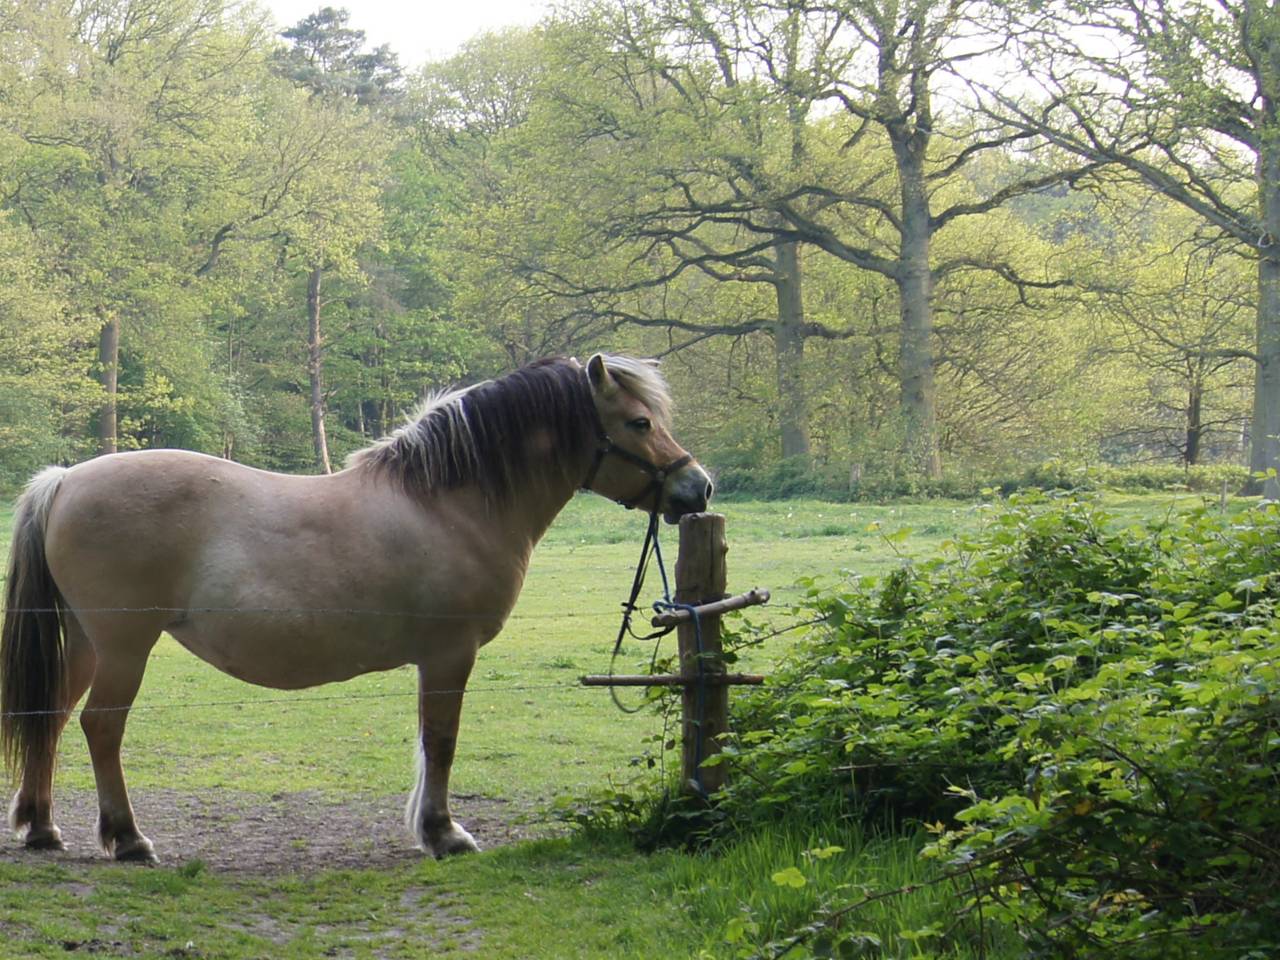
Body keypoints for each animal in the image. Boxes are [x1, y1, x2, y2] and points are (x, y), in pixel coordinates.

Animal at [1, 354, 712, 862]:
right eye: (640, 422)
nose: (697, 486)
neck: (448, 503)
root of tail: (65, 479)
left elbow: (429, 742)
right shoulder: (449, 654)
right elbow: (441, 740)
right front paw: (444, 834)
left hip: (85, 644)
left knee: (50, 718)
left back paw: (42, 828)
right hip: (124, 649)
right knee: (101, 729)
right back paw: (126, 838)